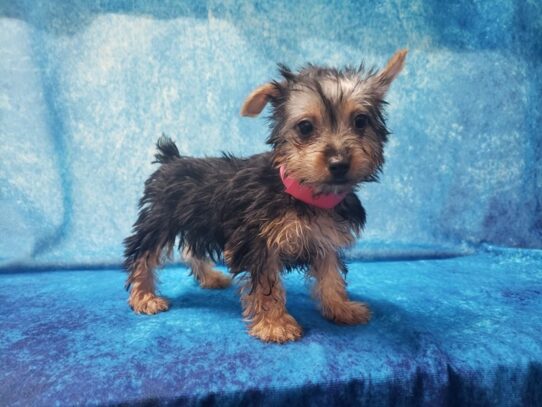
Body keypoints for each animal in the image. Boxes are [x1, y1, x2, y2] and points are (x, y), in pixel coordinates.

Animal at [124, 48, 408, 344]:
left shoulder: (324, 240)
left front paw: (340, 307)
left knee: (191, 248)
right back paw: (144, 296)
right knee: (142, 253)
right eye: (305, 127)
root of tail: (172, 159)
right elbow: (266, 284)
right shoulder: (258, 242)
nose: (339, 163)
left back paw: (210, 278)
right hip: (161, 217)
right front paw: (275, 324)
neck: (304, 191)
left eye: (360, 121)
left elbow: (331, 275)